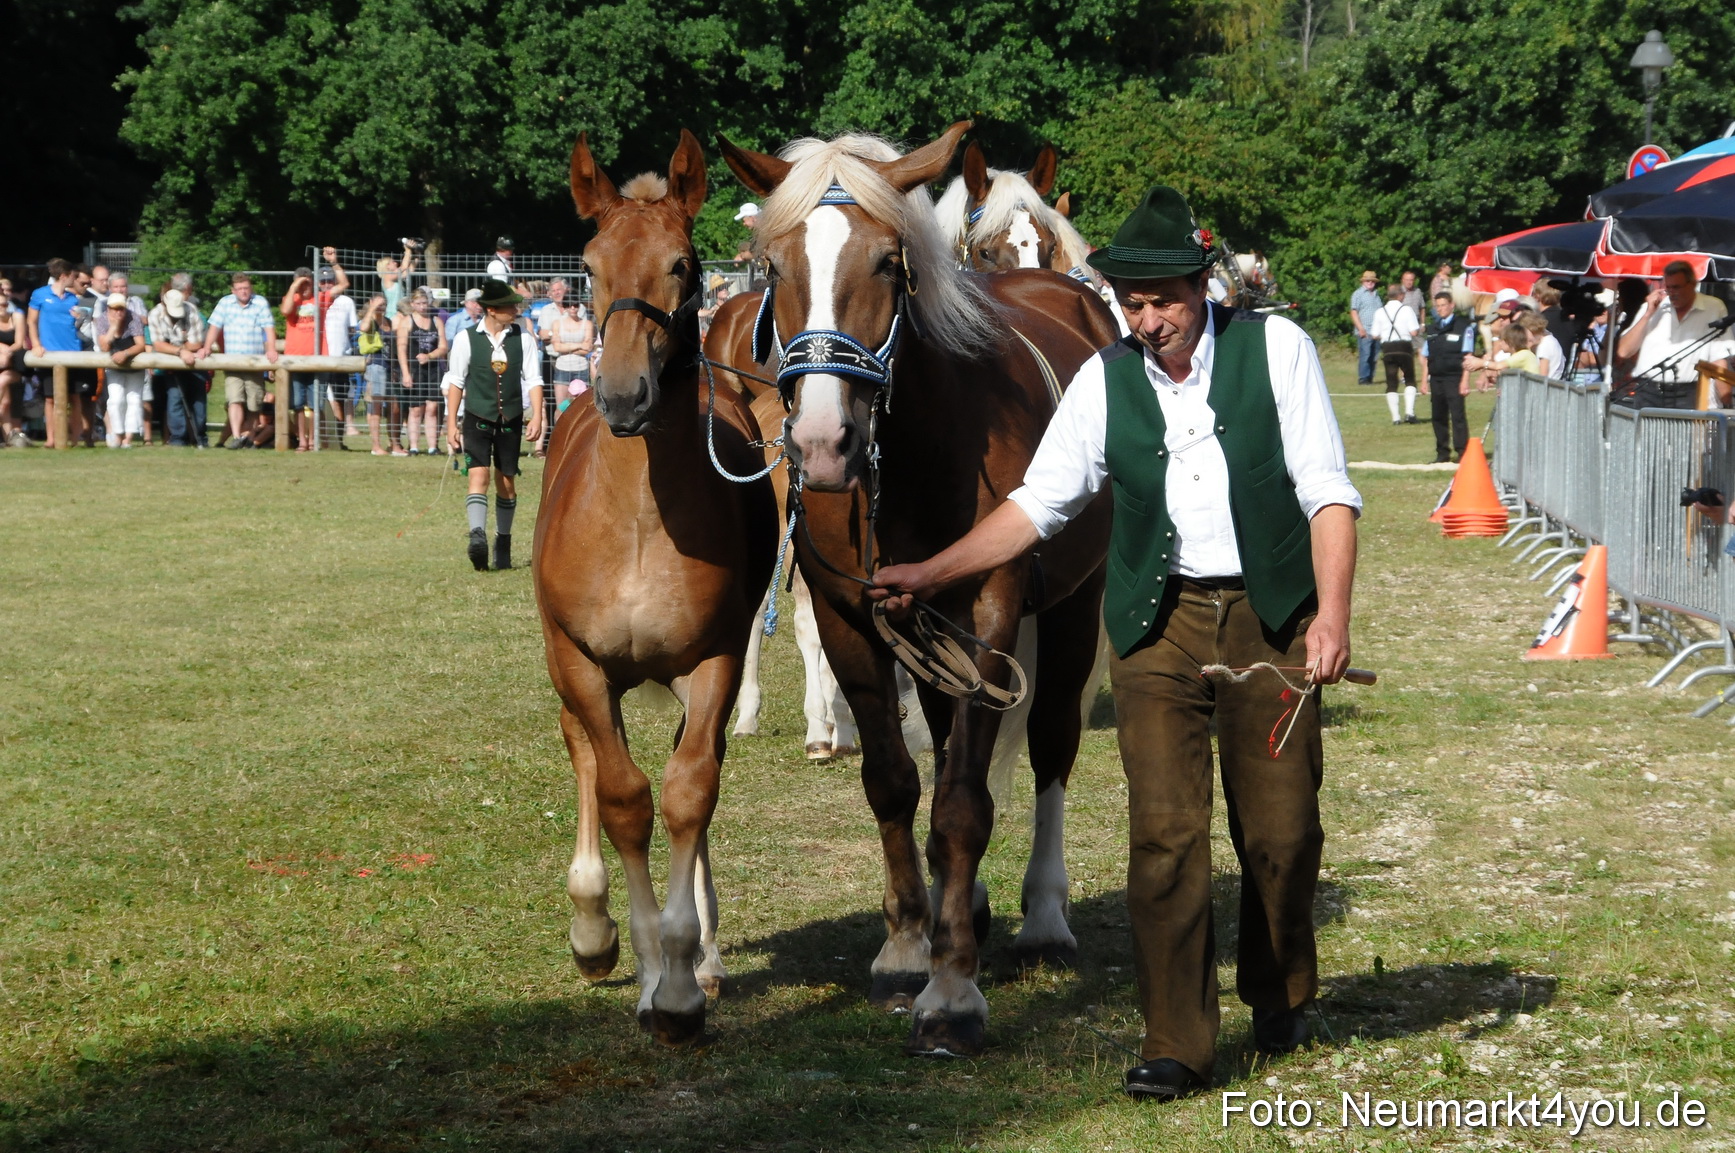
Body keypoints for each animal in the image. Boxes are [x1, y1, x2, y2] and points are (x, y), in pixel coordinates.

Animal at [535, 129, 776, 1045]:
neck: (637, 522)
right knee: (582, 754)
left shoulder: (714, 661)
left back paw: (698, 953)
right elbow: (622, 796)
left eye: (682, 264)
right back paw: (592, 927)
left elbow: (687, 791)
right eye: (588, 264)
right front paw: (639, 963)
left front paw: (679, 974)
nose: (622, 393)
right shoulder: (579, 660)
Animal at [718, 123, 1119, 1056]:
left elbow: (966, 801)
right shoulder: (854, 616)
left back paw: (1041, 913)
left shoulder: (992, 613)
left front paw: (953, 988)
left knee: (1049, 742)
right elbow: (897, 780)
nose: (820, 440)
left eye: (886, 262)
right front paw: (908, 943)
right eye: (774, 268)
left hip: (1071, 608)